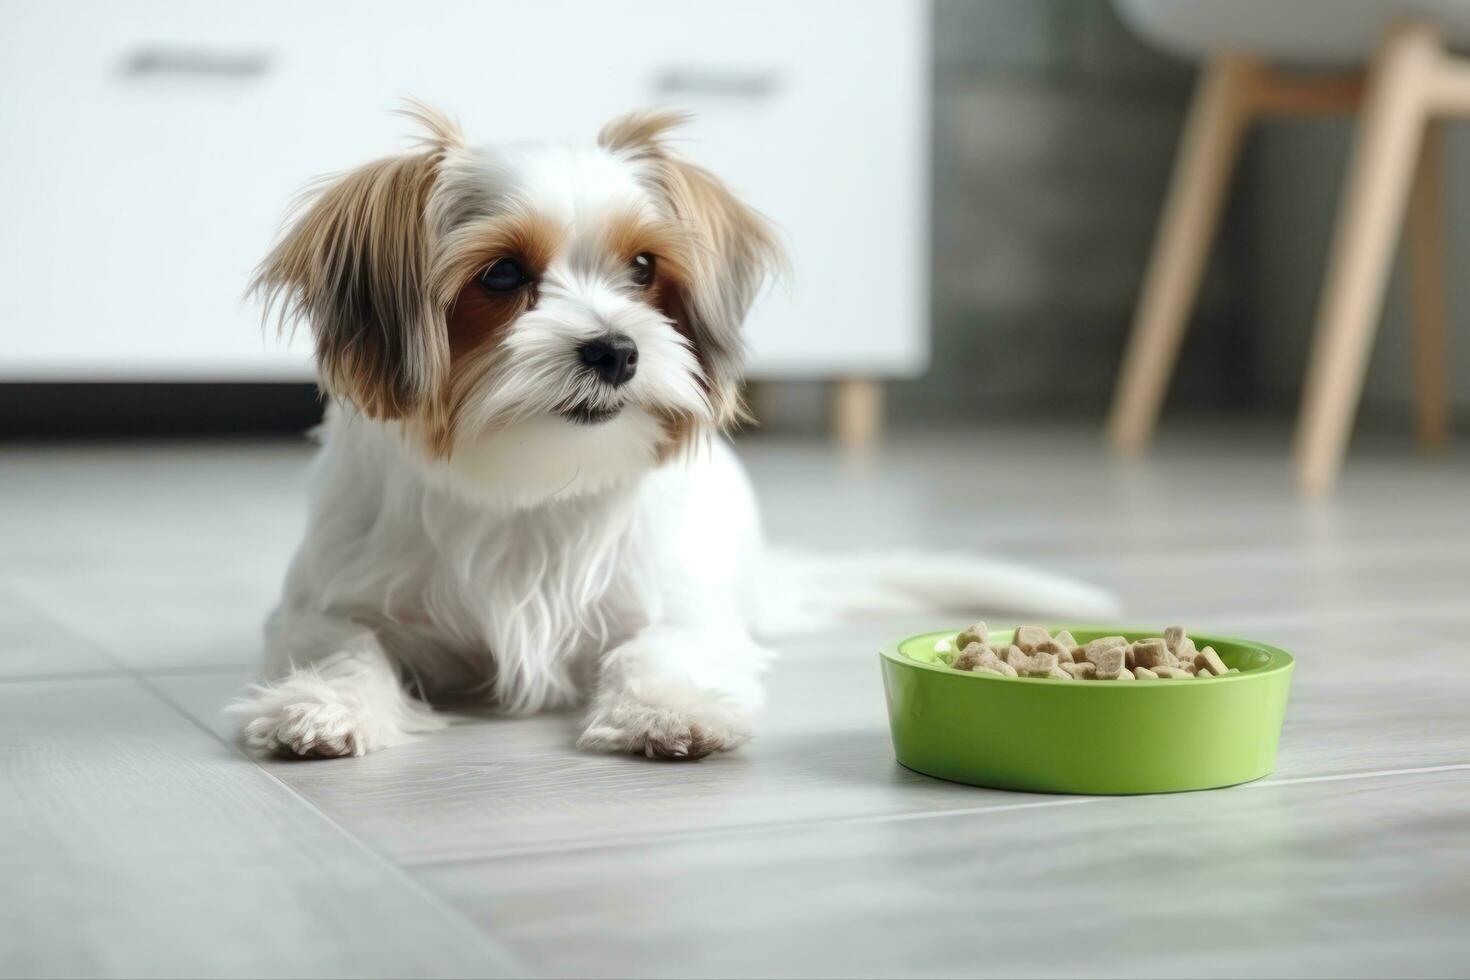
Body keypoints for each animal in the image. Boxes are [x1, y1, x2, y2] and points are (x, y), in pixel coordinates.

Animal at [229, 109, 1111, 764]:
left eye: (645, 268)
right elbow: (346, 647)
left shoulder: (681, 602)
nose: (616, 350)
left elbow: (657, 645)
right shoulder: (323, 603)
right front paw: (323, 705)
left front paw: (668, 708)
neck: (529, 483)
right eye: (503, 275)